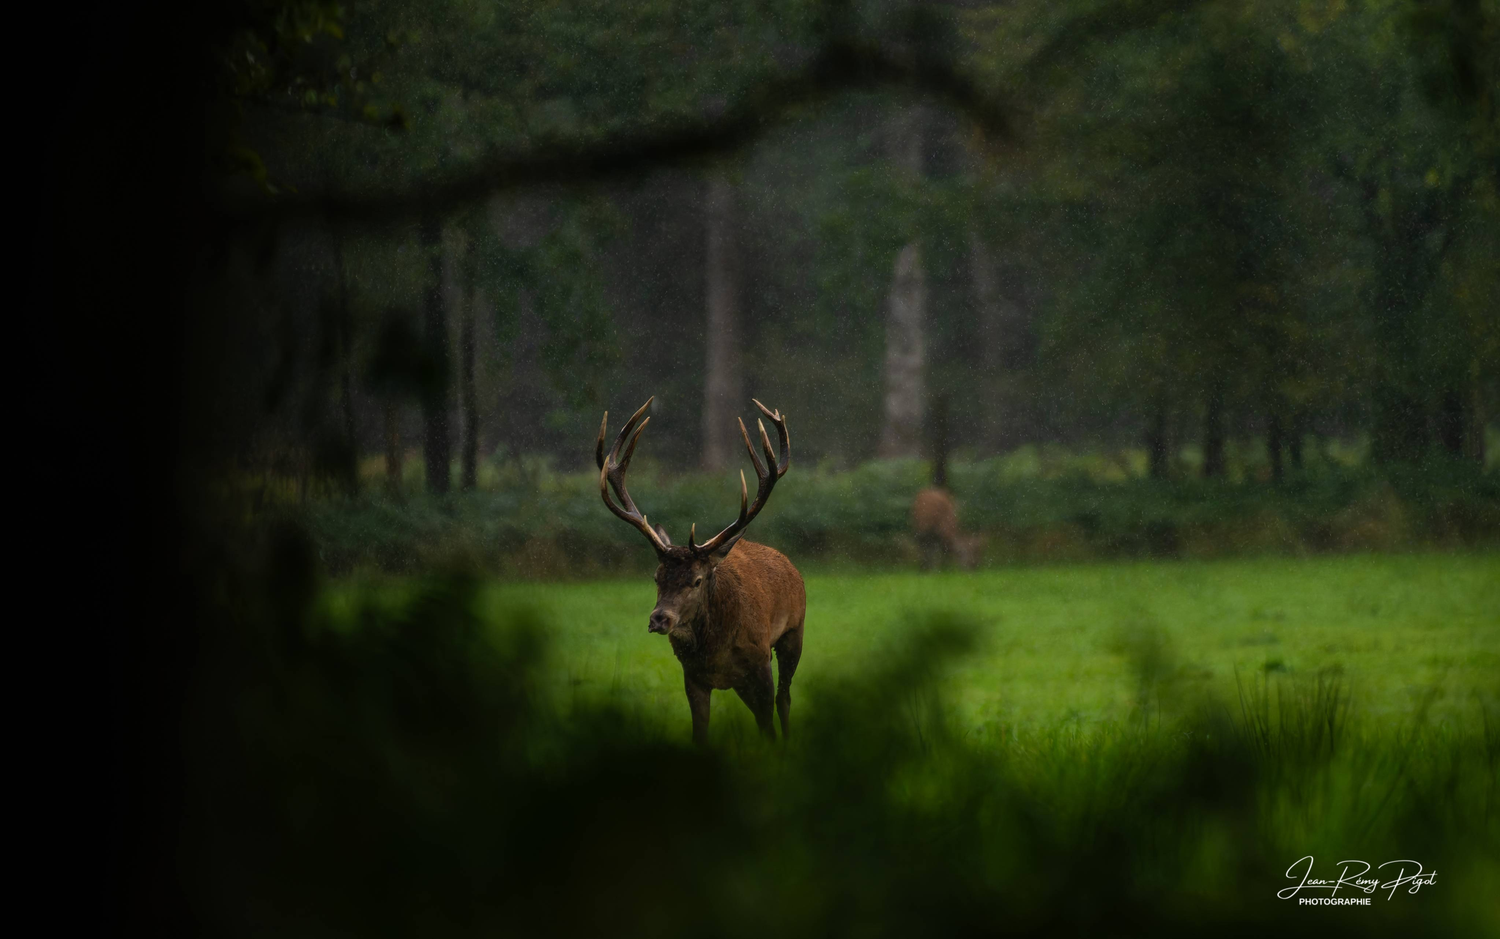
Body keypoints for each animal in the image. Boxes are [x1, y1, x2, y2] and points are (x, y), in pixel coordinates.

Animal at [596, 397, 805, 746]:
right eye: (656, 577)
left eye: (696, 580)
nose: (659, 619)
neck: (715, 651)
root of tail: (791, 566)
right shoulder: (692, 676)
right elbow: (700, 735)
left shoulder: (760, 661)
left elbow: (769, 727)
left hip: (794, 632)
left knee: (785, 699)